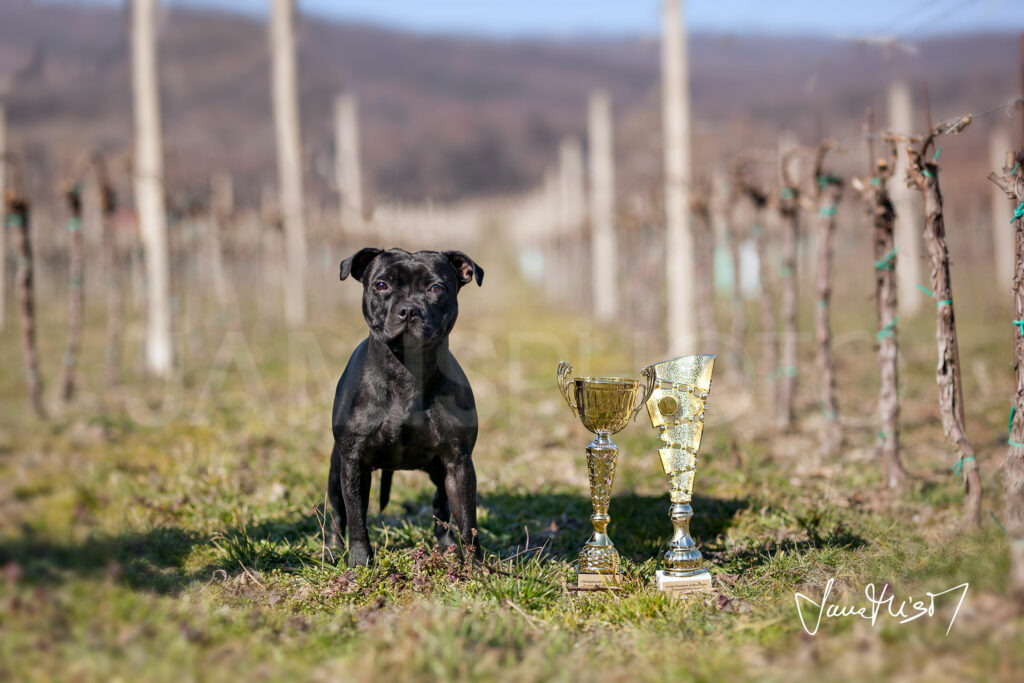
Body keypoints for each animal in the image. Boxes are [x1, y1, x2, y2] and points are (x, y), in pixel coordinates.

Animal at [329, 246, 485, 565]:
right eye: (381, 285)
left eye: (436, 288)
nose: (409, 309)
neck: (407, 372)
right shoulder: (353, 463)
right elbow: (357, 519)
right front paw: (360, 563)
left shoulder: (459, 463)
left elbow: (467, 521)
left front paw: (475, 566)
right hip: (336, 472)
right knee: (338, 514)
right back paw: (333, 549)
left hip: (440, 471)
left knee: (441, 507)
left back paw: (447, 546)